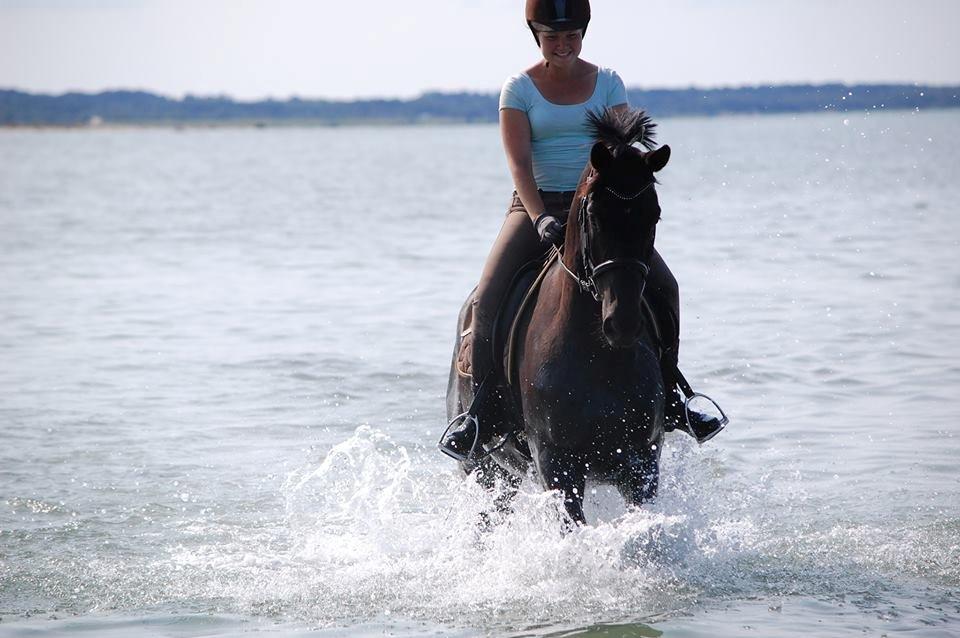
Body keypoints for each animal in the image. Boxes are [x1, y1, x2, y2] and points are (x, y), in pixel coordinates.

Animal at [446, 109, 672, 524]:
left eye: (654, 216)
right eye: (595, 215)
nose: (622, 323)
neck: (597, 356)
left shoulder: (642, 461)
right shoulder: (558, 466)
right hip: (486, 471)